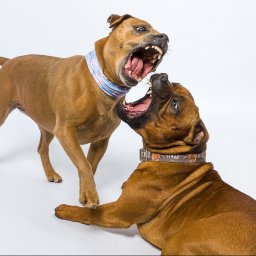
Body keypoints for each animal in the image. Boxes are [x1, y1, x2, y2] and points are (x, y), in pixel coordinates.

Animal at [0, 14, 170, 208]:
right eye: (141, 28)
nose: (165, 37)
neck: (101, 83)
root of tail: (9, 61)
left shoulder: (100, 141)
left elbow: (90, 166)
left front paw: (85, 190)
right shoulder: (65, 131)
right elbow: (84, 164)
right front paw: (89, 194)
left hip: (48, 127)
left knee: (42, 148)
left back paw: (51, 174)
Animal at [55, 73, 256, 254]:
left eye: (175, 104)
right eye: (175, 84)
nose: (164, 77)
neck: (172, 156)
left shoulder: (116, 213)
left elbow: (91, 213)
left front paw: (66, 210)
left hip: (177, 243)